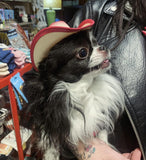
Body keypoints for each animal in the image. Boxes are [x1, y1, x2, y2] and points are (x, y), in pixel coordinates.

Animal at [22, 25, 124, 159]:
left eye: (96, 42)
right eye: (83, 52)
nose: (103, 46)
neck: (84, 89)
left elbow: (102, 132)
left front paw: (105, 142)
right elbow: (50, 144)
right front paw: (51, 156)